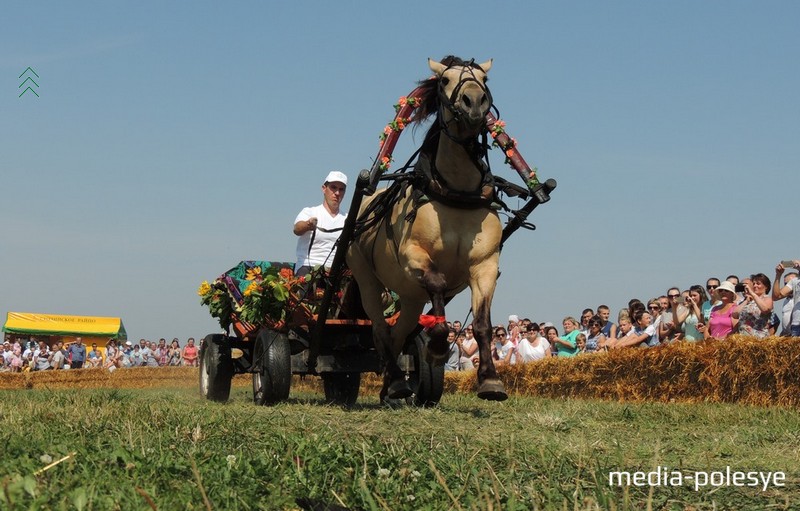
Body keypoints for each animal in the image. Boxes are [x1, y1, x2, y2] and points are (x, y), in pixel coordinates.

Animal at [346, 55, 510, 400]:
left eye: (485, 80)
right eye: (445, 80)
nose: (475, 101)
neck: (456, 194)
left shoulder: (485, 264)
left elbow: (483, 324)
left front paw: (490, 379)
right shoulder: (413, 255)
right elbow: (437, 283)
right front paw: (436, 345)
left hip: (409, 297)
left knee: (398, 332)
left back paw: (391, 384)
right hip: (367, 279)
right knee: (381, 329)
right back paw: (396, 380)